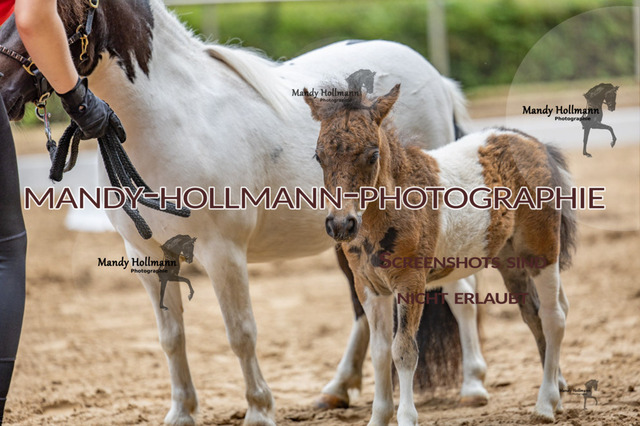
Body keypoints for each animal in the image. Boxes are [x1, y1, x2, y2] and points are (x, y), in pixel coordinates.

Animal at [0, 0, 489, 423]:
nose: (2, 91)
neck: (171, 120)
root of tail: (433, 77)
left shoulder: (223, 253)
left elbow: (241, 334)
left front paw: (259, 410)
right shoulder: (146, 256)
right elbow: (171, 338)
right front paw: (181, 413)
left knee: (460, 290)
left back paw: (473, 386)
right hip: (351, 236)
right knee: (365, 313)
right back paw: (336, 390)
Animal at [304, 83, 576, 424]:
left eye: (372, 154)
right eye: (319, 156)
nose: (341, 224)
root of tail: (533, 143)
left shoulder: (411, 283)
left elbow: (404, 351)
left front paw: (407, 418)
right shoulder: (370, 288)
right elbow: (380, 353)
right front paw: (378, 417)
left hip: (541, 251)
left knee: (554, 317)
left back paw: (546, 404)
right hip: (510, 260)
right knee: (535, 316)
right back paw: (559, 391)